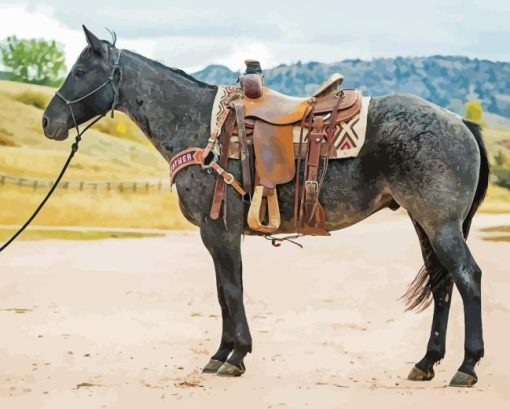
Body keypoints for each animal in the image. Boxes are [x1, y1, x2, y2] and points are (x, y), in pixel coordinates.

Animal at [41, 27, 488, 388]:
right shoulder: (217, 235)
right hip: (424, 223)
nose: (48, 121)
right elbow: (223, 290)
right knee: (442, 283)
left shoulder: (219, 231)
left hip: (440, 224)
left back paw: (467, 366)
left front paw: (236, 355)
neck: (203, 129)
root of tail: (460, 123)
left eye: (80, 72)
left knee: (467, 278)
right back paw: (427, 362)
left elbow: (232, 289)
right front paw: (221, 353)